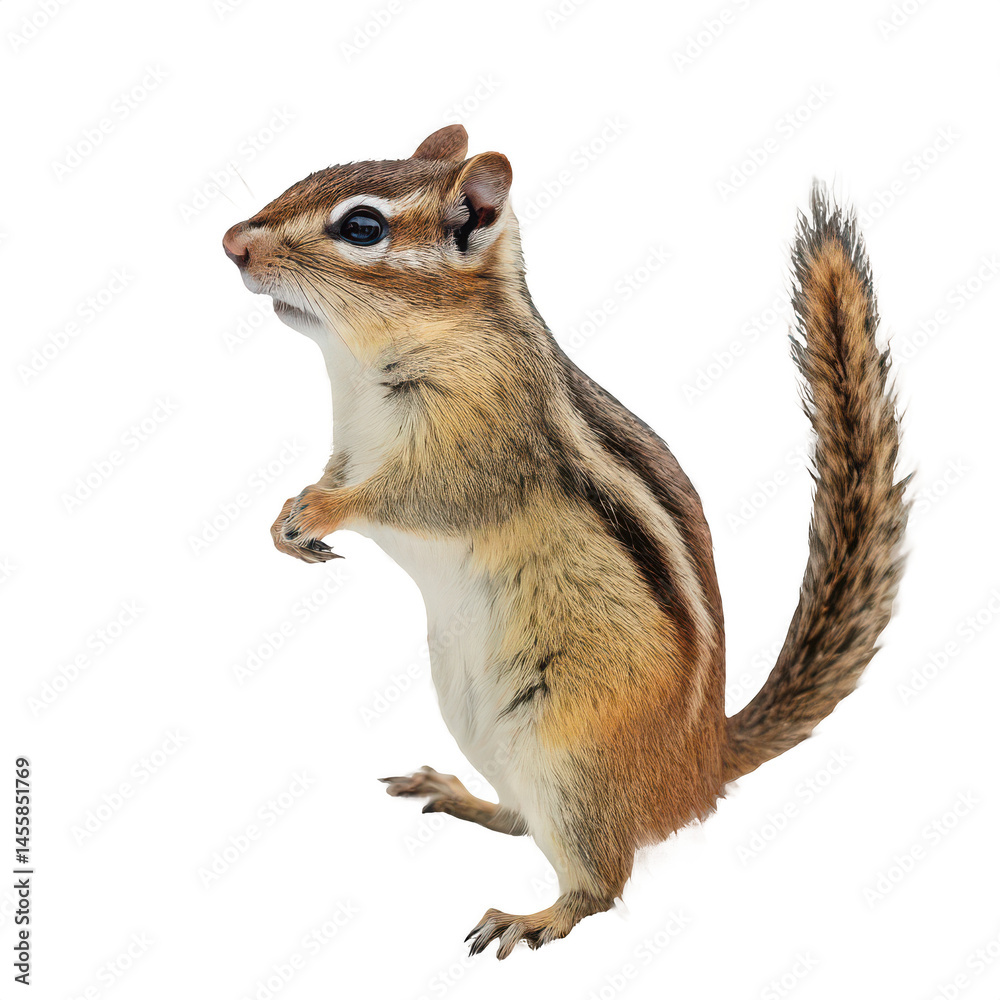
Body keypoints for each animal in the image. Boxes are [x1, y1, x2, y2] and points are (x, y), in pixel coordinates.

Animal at [222, 124, 909, 959]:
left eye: (361, 226)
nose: (232, 242)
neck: (360, 363)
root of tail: (702, 767)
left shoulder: (481, 446)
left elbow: (412, 496)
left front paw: (322, 513)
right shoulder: (349, 444)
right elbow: (329, 476)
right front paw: (285, 520)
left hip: (571, 758)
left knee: (598, 884)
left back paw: (534, 917)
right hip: (481, 728)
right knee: (520, 820)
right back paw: (458, 795)